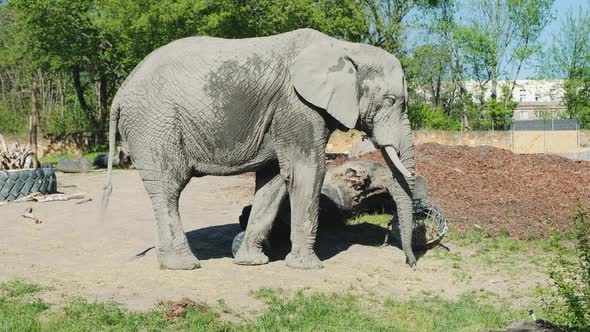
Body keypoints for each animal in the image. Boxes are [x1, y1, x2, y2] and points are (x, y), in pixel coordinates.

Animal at [100, 28, 416, 272]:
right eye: (390, 100)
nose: (410, 263)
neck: (344, 47)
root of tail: (119, 94)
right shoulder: (297, 106)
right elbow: (306, 172)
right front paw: (308, 267)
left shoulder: (281, 115)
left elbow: (275, 179)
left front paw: (251, 263)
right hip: (154, 125)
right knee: (168, 187)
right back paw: (184, 265)